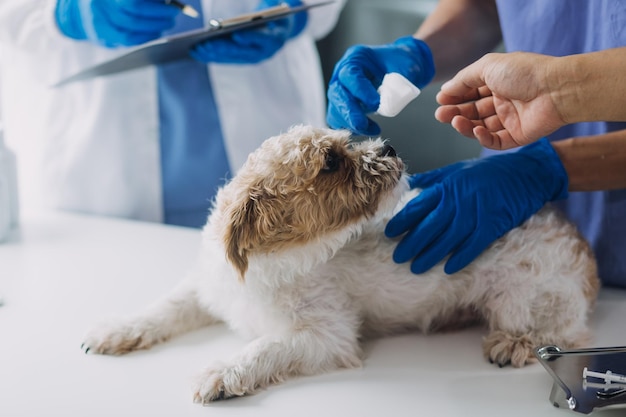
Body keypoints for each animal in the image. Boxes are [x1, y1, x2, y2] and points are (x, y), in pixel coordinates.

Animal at [80, 123, 596, 404]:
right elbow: (162, 309)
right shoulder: (206, 289)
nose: (388, 147)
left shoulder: (325, 337)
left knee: (563, 332)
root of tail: (581, 246)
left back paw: (515, 342)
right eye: (330, 161)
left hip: (521, 299)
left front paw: (222, 373)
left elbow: (263, 348)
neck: (274, 266)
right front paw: (116, 330)